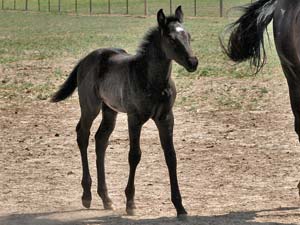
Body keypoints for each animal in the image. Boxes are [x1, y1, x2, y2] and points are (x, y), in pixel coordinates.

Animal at [50, 5, 198, 218]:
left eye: (188, 36)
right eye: (171, 39)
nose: (193, 62)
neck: (152, 80)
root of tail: (87, 58)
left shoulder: (166, 118)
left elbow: (171, 156)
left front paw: (180, 207)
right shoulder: (134, 118)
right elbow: (134, 155)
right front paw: (130, 203)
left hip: (109, 110)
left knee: (101, 139)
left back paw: (106, 198)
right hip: (90, 106)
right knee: (83, 135)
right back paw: (87, 196)